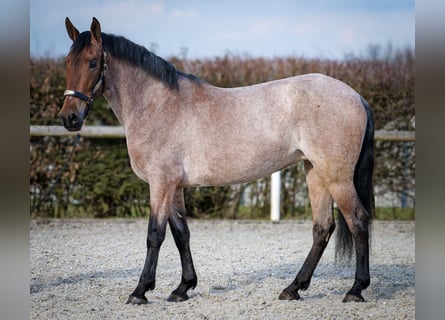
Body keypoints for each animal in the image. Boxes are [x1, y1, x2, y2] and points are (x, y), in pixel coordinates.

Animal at [59, 17, 372, 304]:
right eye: (67, 62)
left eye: (92, 62)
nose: (69, 117)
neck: (156, 104)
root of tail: (355, 96)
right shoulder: (175, 186)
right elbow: (181, 233)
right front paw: (182, 288)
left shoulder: (160, 183)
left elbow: (155, 235)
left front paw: (140, 291)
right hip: (315, 173)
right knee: (322, 228)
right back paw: (293, 288)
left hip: (337, 177)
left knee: (358, 220)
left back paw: (356, 289)